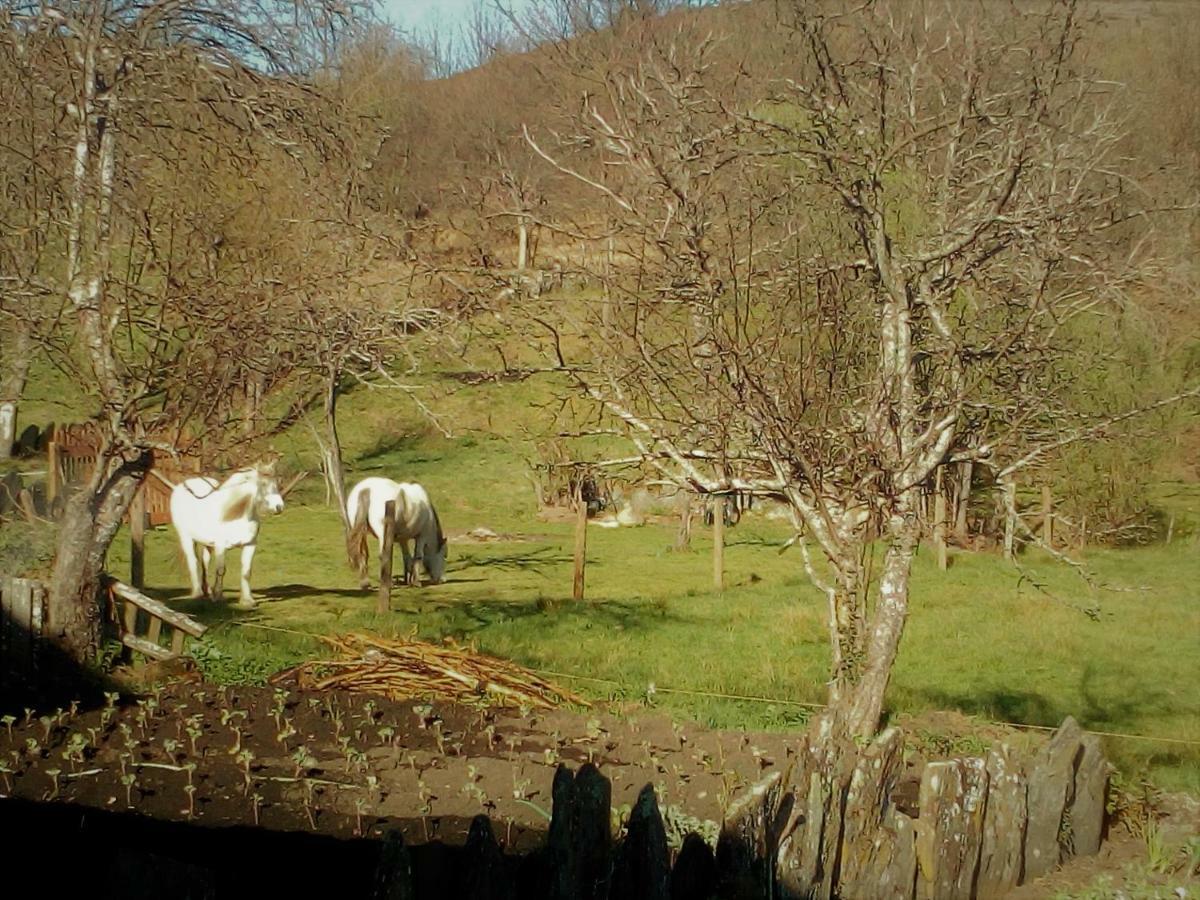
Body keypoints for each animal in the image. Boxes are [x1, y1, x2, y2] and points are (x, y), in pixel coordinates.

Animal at [169, 465, 285, 607]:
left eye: (277, 483)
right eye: (263, 484)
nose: (279, 507)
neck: (236, 514)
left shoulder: (250, 545)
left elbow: (246, 572)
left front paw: (248, 600)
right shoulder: (220, 546)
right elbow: (220, 570)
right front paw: (218, 597)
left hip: (207, 543)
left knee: (204, 562)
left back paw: (207, 591)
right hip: (186, 538)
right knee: (193, 561)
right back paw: (197, 594)